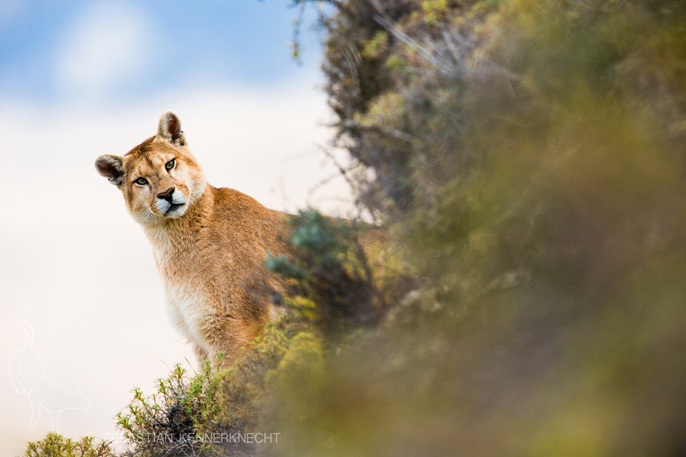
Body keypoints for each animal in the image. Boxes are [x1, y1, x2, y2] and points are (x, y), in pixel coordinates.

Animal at [95, 111, 290, 364]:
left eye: (170, 163)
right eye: (140, 180)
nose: (167, 194)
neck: (170, 241)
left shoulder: (233, 326)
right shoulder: (198, 337)